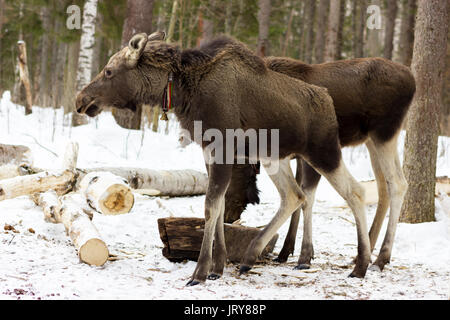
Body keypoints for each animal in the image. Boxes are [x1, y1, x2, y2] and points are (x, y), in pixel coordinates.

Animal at [76, 32, 372, 284]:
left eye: (109, 70)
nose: (81, 99)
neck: (183, 92)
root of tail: (328, 101)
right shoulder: (210, 151)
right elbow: (219, 207)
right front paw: (217, 267)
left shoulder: (222, 150)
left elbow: (210, 206)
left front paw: (200, 272)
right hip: (276, 158)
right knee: (295, 195)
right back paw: (252, 257)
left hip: (324, 152)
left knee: (356, 192)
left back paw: (361, 265)